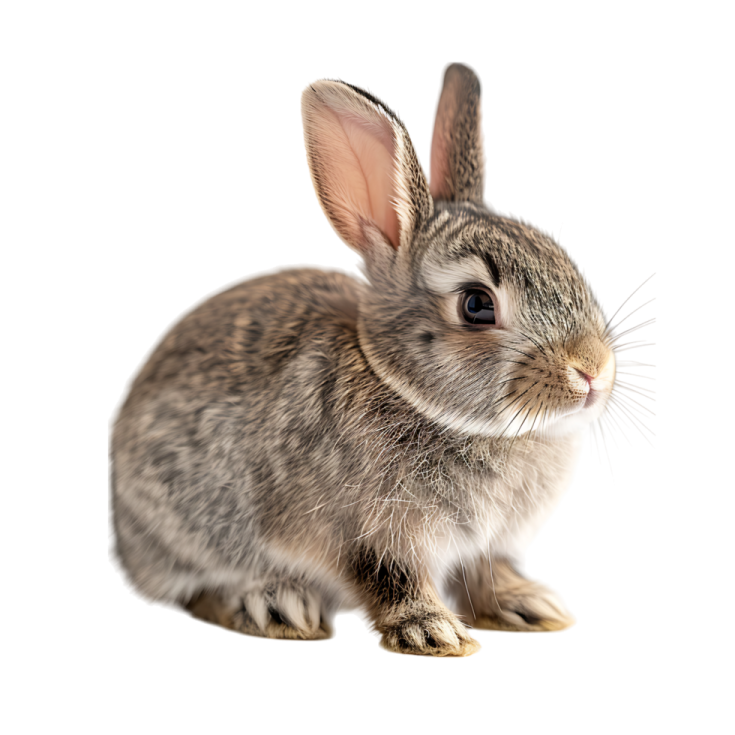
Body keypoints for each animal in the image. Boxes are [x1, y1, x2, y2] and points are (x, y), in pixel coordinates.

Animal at [108, 61, 656, 658]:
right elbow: (390, 581)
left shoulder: (488, 545)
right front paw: (435, 633)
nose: (592, 370)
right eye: (476, 305)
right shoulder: (367, 535)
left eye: (566, 263)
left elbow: (490, 574)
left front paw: (532, 606)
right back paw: (276, 606)